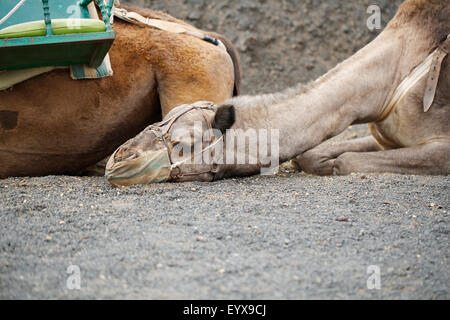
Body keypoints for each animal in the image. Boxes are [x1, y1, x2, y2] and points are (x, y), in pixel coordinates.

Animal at [104, 0, 446, 185]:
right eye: (158, 119)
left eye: (182, 144)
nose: (118, 159)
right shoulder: (381, 135)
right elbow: (311, 154)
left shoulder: (441, 147)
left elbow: (347, 161)